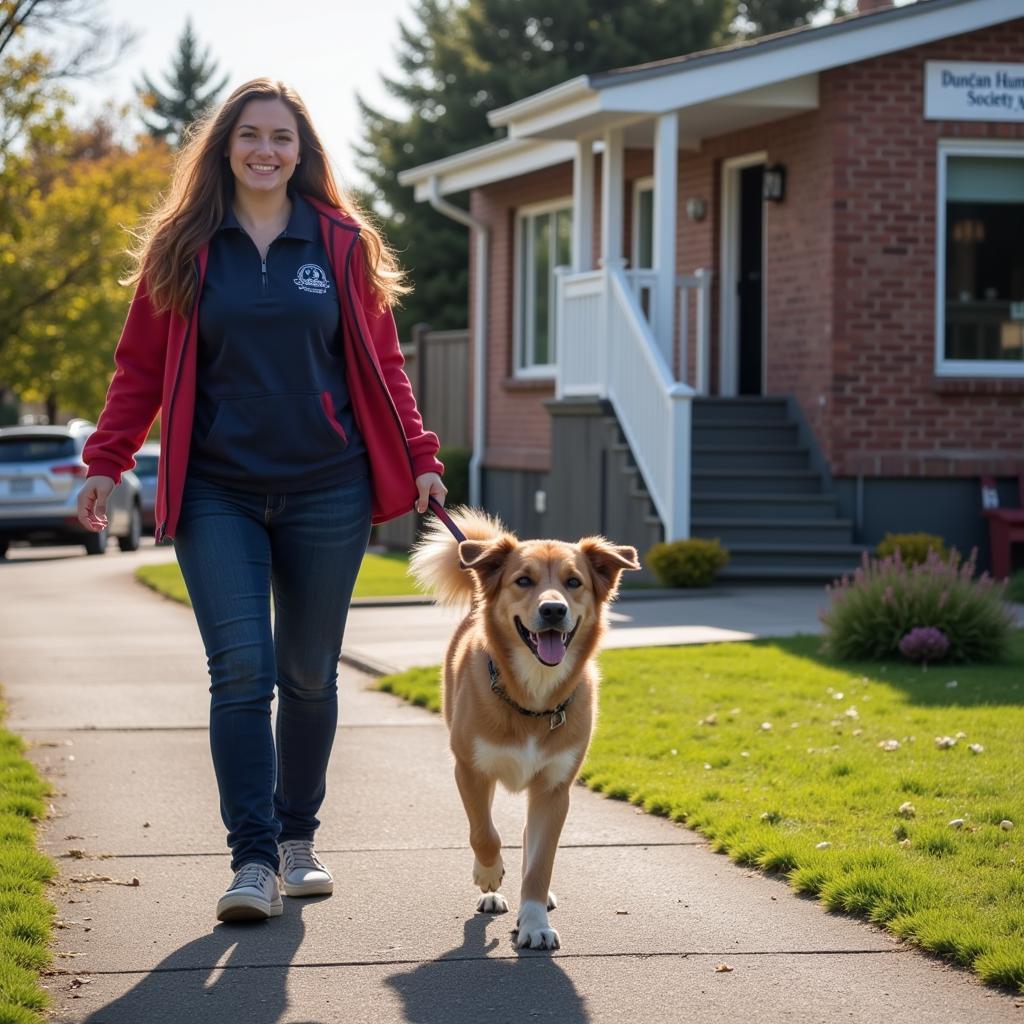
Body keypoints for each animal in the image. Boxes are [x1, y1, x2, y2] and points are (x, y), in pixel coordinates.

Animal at [409, 507, 638, 946]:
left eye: (573, 582)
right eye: (523, 580)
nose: (553, 611)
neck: (534, 697)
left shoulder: (554, 788)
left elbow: (540, 859)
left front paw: (534, 921)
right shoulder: (470, 771)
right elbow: (484, 833)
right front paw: (489, 874)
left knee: (532, 839)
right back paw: (491, 888)